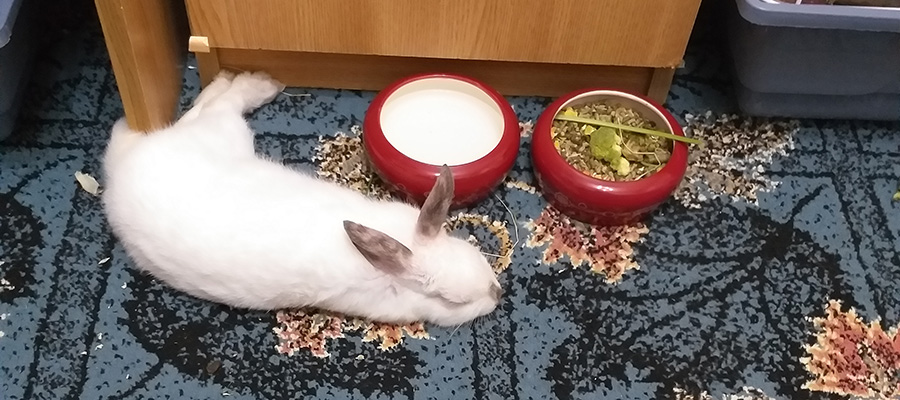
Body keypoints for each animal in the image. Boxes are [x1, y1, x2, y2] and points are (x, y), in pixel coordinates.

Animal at [101, 71, 503, 327]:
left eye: (472, 250)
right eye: (452, 302)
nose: (497, 294)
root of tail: (118, 169)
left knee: (200, 108)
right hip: (226, 132)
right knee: (223, 105)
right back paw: (260, 82)